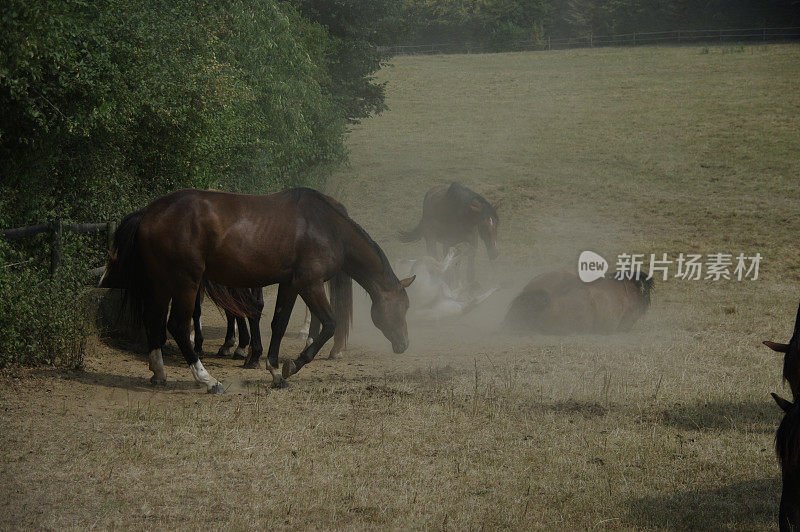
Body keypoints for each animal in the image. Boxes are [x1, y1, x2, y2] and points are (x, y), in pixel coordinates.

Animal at [100, 187, 416, 390]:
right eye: (402, 307)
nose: (404, 344)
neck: (328, 228)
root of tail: (148, 212)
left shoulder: (290, 284)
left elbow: (279, 323)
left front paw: (275, 371)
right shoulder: (311, 284)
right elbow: (329, 324)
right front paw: (293, 365)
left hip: (161, 284)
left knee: (153, 322)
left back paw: (159, 372)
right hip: (185, 283)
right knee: (177, 326)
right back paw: (207, 380)